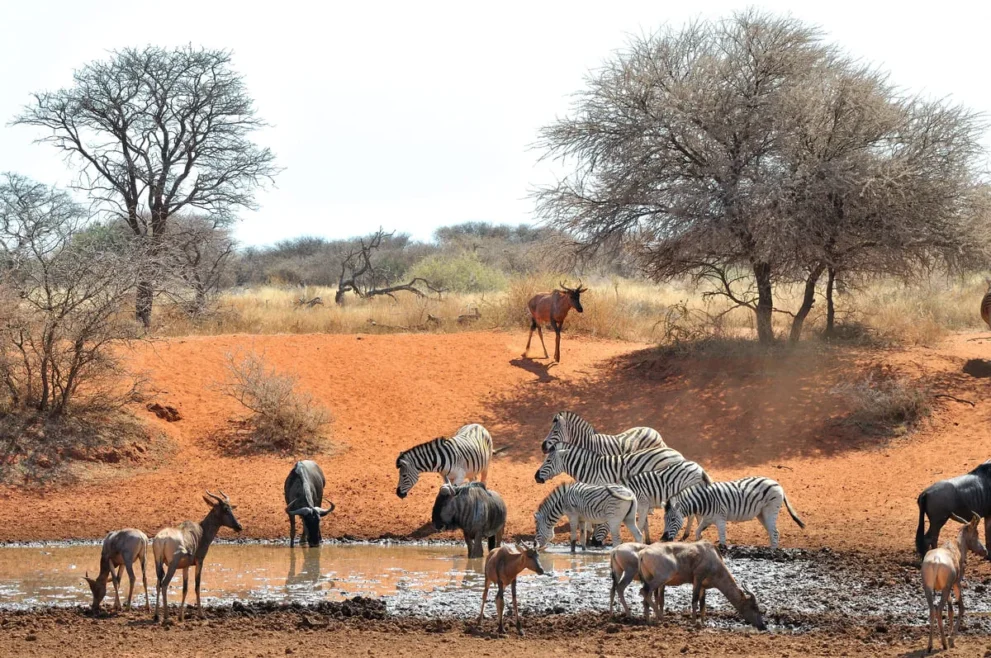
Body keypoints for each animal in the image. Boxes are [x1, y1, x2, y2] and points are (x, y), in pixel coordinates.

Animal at [661, 476, 805, 549]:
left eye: (672, 519)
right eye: (664, 520)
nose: (663, 539)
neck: (703, 501)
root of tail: (777, 484)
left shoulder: (720, 519)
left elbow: (722, 539)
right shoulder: (707, 519)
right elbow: (697, 532)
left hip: (770, 510)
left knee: (774, 532)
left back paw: (772, 554)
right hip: (762, 514)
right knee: (773, 532)